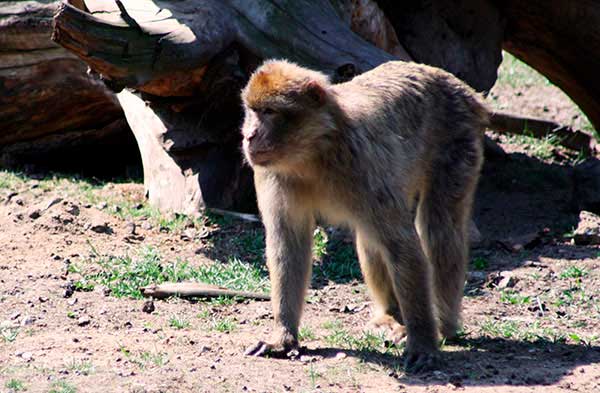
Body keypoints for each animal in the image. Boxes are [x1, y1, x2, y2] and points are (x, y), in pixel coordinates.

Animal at [238, 58, 488, 370]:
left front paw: (423, 343)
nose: (248, 135)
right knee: (370, 238)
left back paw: (444, 327)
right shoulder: (272, 174)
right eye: (251, 110)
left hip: (458, 140)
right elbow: (288, 245)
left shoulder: (363, 163)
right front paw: (283, 337)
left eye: (269, 112)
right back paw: (391, 315)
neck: (314, 153)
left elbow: (403, 246)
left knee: (440, 230)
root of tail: (462, 88)